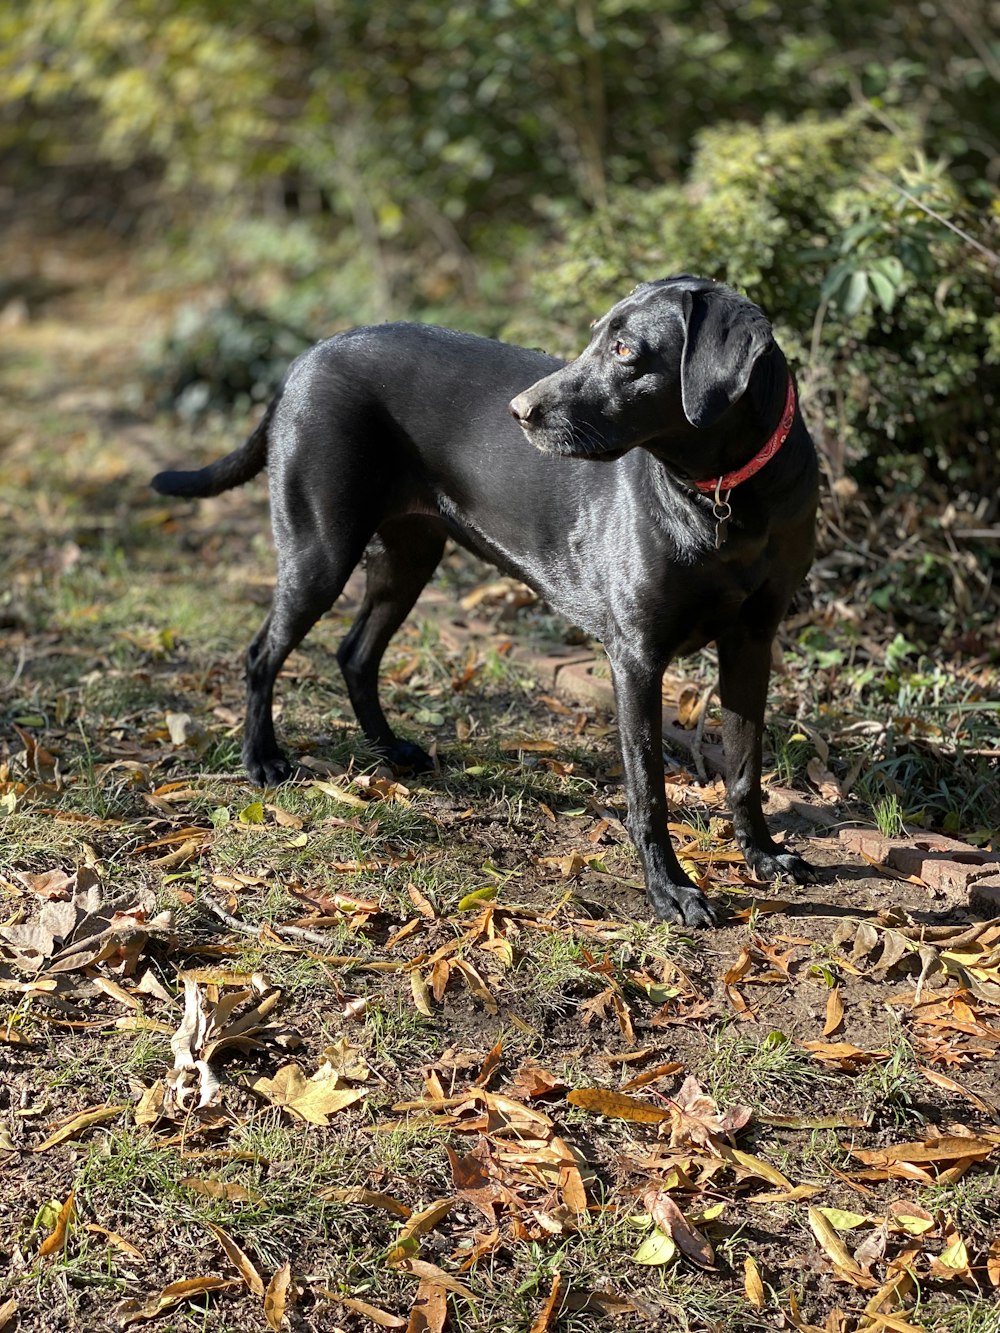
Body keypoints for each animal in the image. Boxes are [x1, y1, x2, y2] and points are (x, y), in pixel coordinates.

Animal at [152, 278, 816, 927]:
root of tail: (306, 358)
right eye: (596, 336)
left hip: (409, 557)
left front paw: (764, 854)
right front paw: (670, 890)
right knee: (262, 654)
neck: (726, 496)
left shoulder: (753, 641)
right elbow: (647, 790)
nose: (518, 411)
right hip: (319, 553)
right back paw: (262, 760)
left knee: (354, 652)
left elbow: (745, 767)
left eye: (625, 350)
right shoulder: (636, 658)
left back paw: (390, 750)